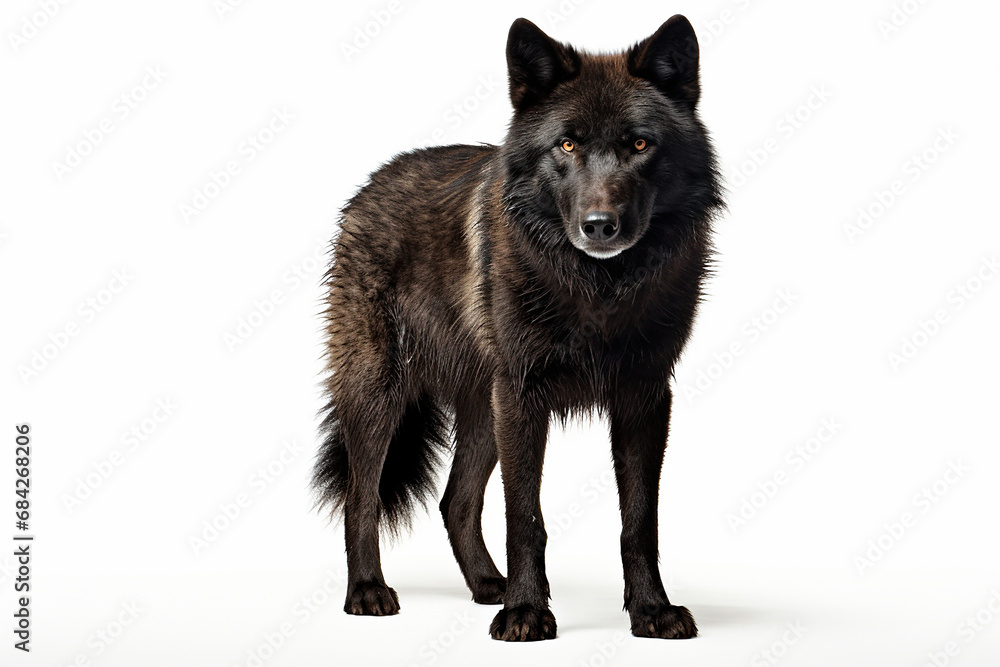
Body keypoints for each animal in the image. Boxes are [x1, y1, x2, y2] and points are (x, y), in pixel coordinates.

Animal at [313, 16, 723, 641]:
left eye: (640, 144)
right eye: (567, 144)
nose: (599, 226)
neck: (597, 293)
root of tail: (369, 187)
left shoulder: (644, 397)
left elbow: (639, 520)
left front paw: (651, 610)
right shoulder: (524, 398)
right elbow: (525, 515)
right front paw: (527, 613)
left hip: (485, 411)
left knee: (455, 501)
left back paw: (489, 585)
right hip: (383, 395)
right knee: (362, 497)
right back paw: (368, 592)